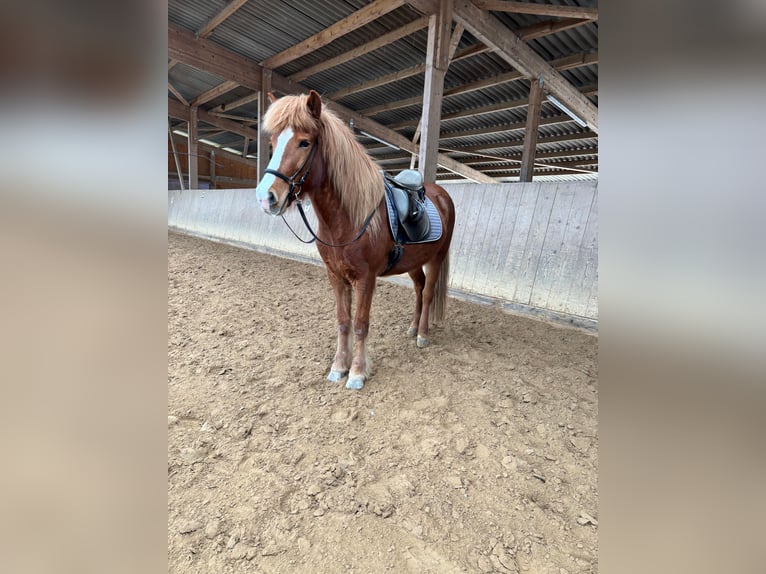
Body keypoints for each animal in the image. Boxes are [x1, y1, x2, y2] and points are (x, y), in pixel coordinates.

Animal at [255, 90, 455, 390]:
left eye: (304, 142)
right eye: (273, 141)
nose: (266, 197)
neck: (348, 218)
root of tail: (441, 194)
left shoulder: (365, 278)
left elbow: (360, 324)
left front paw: (358, 372)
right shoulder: (336, 276)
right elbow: (343, 321)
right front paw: (339, 367)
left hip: (436, 258)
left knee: (429, 292)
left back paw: (422, 335)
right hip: (412, 263)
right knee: (419, 289)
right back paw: (412, 327)